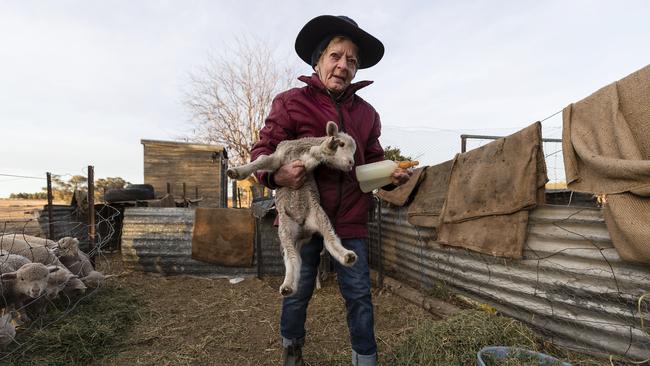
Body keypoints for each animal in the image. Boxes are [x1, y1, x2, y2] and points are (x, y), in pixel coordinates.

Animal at [227, 121, 360, 296]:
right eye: (342, 144)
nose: (351, 163)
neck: (299, 147)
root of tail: (304, 231)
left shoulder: (304, 166)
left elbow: (314, 153)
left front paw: (326, 147)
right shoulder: (281, 160)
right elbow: (261, 160)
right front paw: (236, 172)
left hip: (318, 217)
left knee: (330, 240)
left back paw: (346, 256)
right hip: (286, 231)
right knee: (293, 259)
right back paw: (288, 286)